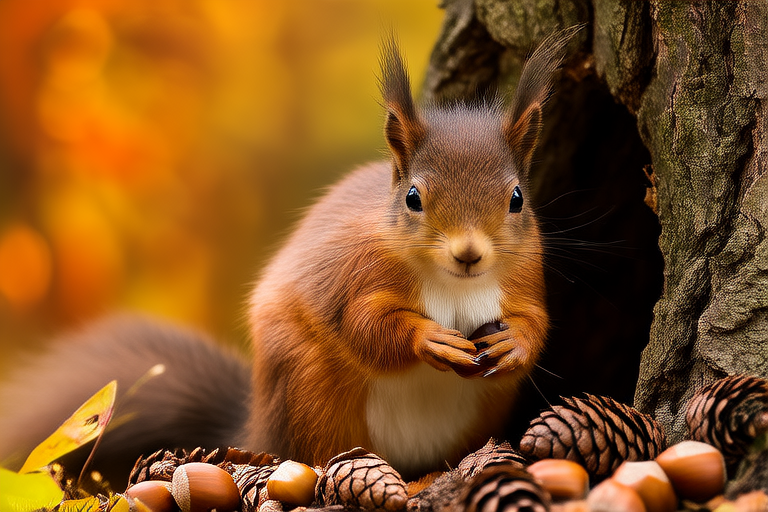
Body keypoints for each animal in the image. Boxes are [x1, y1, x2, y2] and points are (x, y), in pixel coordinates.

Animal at [0, 28, 576, 484]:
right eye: (413, 197)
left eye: (517, 199)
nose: (469, 255)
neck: (454, 284)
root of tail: (256, 426)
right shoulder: (351, 272)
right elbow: (365, 325)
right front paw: (426, 337)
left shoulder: (526, 275)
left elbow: (538, 321)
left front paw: (515, 344)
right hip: (311, 392)